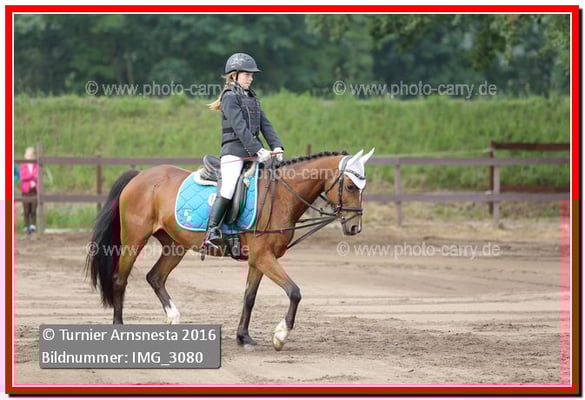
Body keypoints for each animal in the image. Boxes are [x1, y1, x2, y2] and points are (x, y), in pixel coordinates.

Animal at [86, 148, 375, 351]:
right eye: (351, 186)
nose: (355, 227)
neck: (281, 195)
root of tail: (140, 176)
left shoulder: (258, 260)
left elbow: (249, 297)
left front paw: (243, 337)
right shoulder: (264, 257)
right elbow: (294, 291)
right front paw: (280, 336)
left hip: (175, 245)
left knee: (155, 277)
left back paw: (173, 318)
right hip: (134, 240)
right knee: (120, 279)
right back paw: (119, 327)